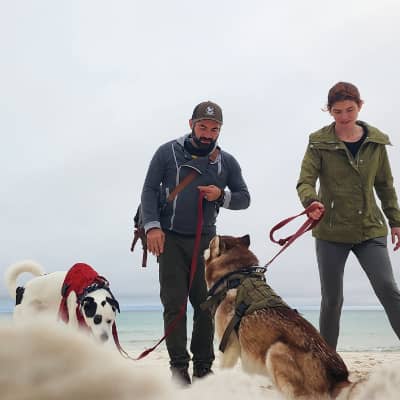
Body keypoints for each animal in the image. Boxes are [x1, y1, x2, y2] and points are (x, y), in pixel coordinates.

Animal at [203, 234, 354, 399]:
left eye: (210, 243)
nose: (204, 245)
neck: (236, 276)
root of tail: (338, 377)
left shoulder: (229, 346)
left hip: (276, 350)